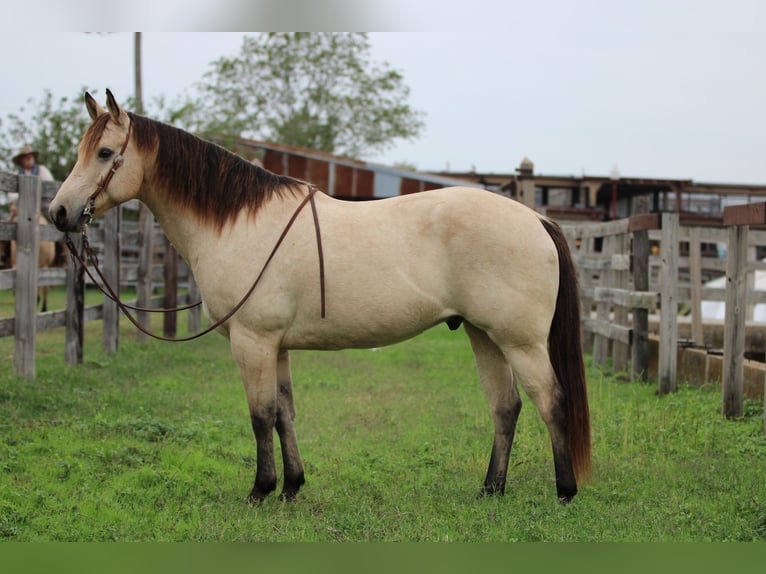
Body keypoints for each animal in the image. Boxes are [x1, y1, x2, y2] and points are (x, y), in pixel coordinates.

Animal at [48, 90, 592, 504]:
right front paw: (292, 486)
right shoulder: (277, 346)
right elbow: (285, 413)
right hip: (484, 335)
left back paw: (565, 492)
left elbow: (260, 416)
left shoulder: (253, 342)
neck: (239, 223)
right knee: (506, 407)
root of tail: (535, 218)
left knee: (552, 402)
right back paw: (490, 489)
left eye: (103, 153)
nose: (59, 213)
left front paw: (261, 490)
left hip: (520, 341)